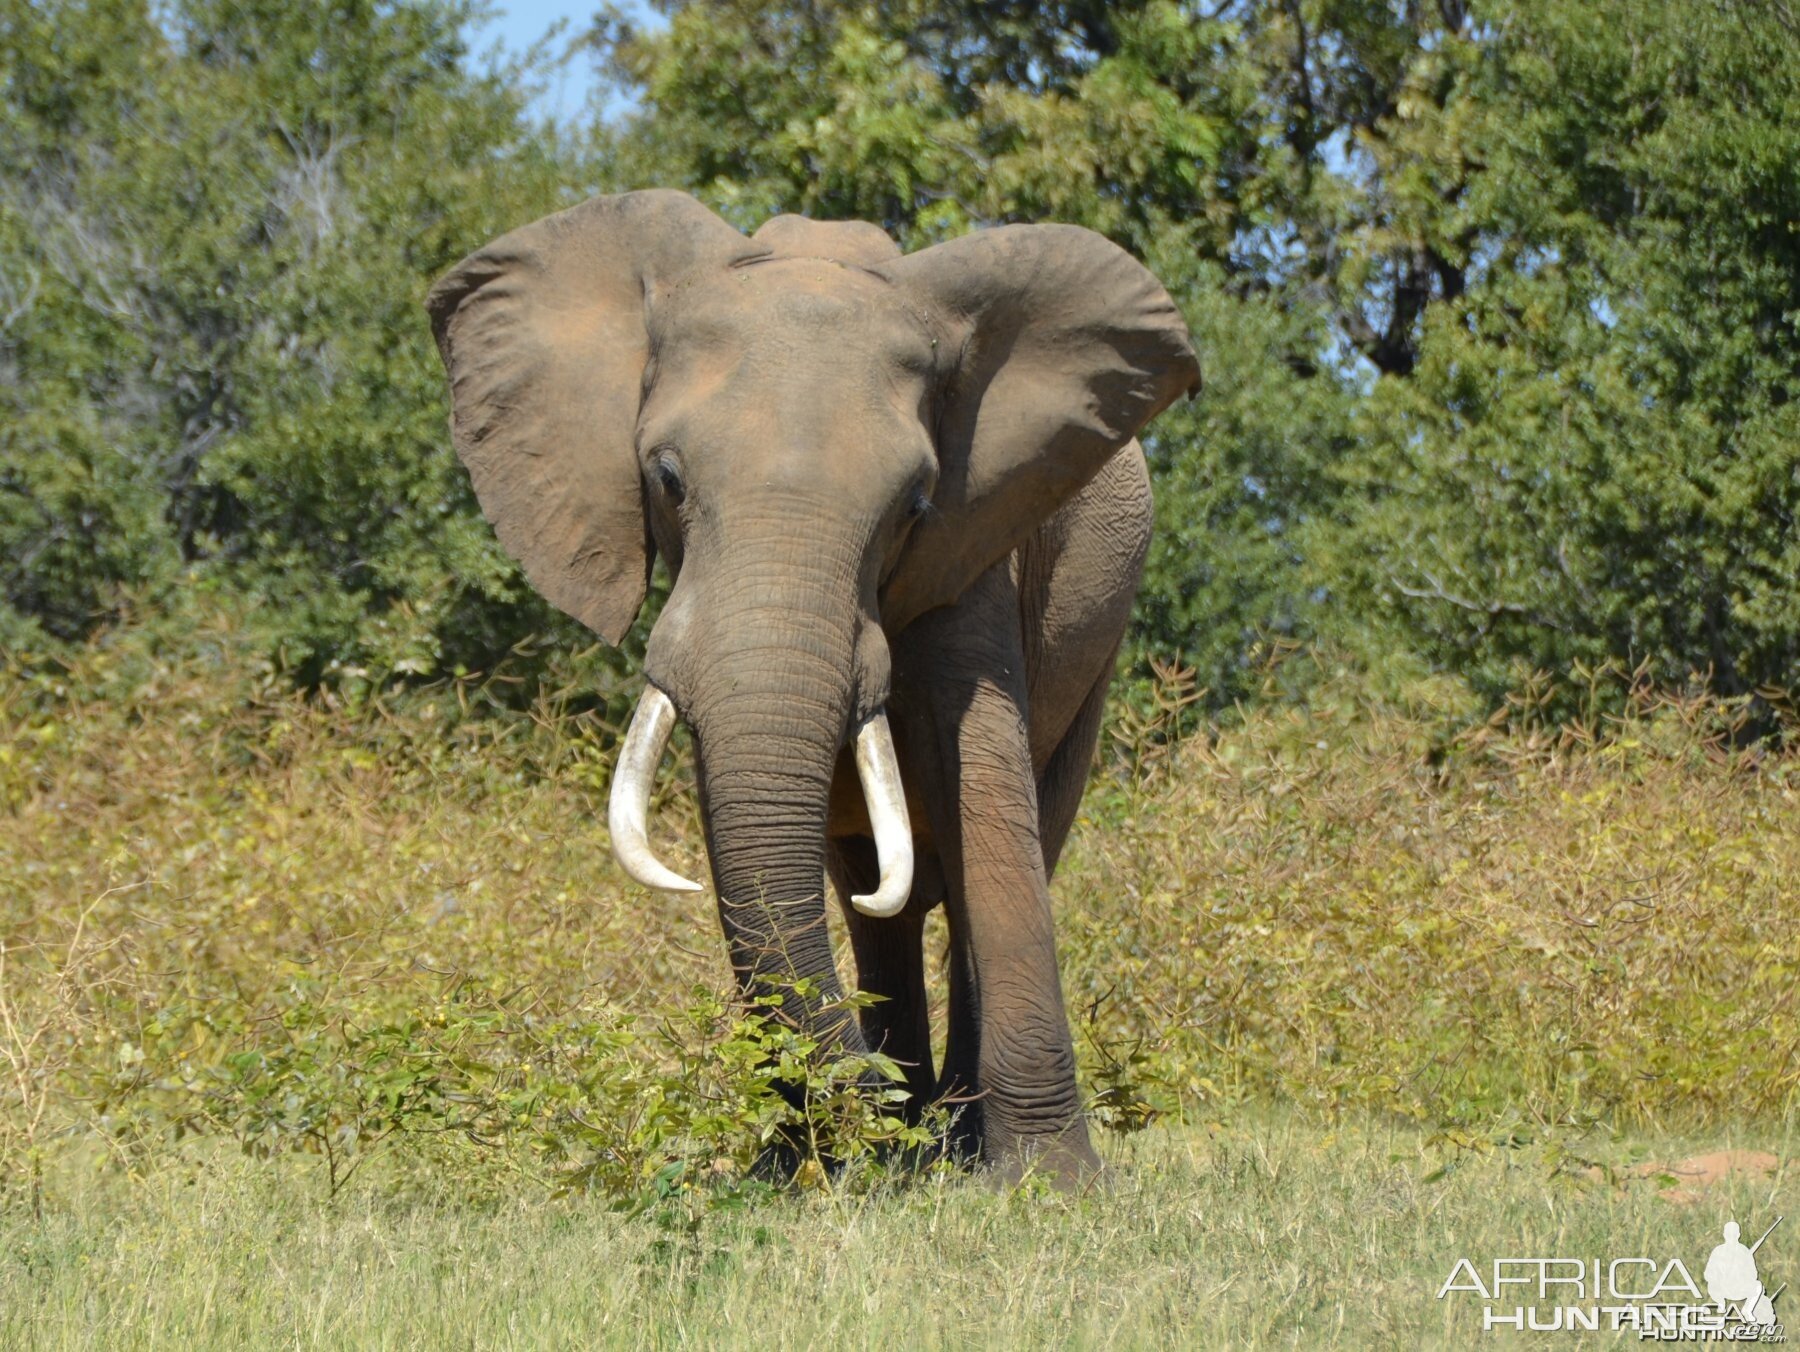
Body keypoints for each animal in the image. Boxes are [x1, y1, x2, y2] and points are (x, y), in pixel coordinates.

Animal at [428, 190, 1202, 1180]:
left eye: (915, 504)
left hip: (1099, 641)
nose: (864, 1086)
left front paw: (1052, 1185)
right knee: (877, 892)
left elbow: (981, 776)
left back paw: (951, 1136)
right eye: (665, 478)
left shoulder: (980, 541)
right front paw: (806, 1168)